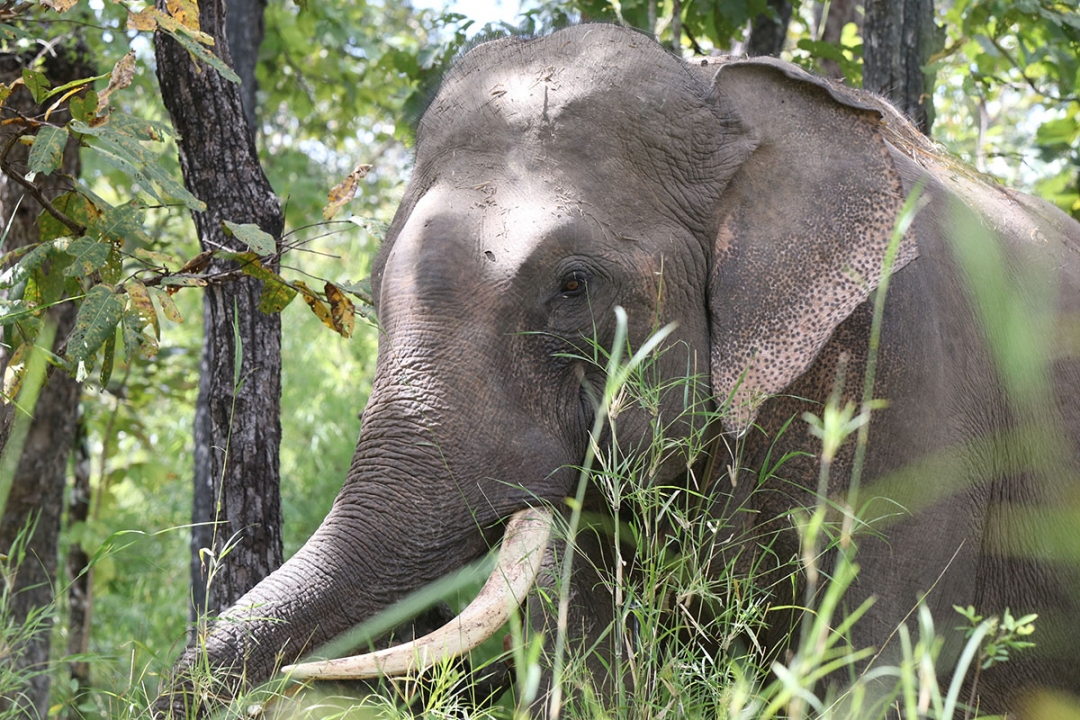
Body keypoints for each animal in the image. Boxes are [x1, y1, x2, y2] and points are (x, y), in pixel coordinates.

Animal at [156, 23, 1080, 720]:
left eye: (572, 286)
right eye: (375, 280)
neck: (731, 108)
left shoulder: (911, 368)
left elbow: (873, 663)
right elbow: (598, 669)